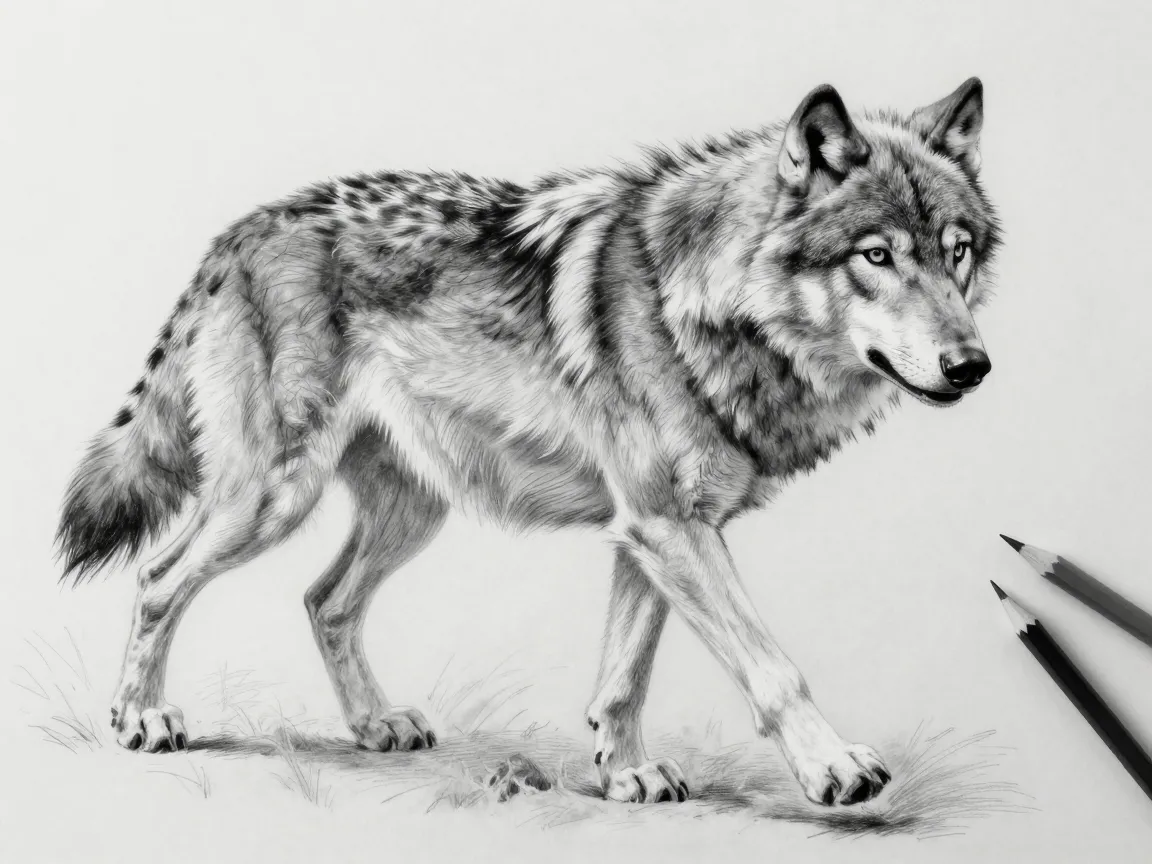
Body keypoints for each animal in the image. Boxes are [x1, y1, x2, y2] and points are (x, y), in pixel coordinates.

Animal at [57, 77, 999, 807]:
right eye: (876, 255)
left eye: (956, 254)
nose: (973, 365)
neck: (700, 303)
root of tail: (241, 231)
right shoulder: (668, 528)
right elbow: (772, 668)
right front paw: (833, 768)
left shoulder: (655, 532)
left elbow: (624, 676)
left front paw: (625, 775)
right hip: (271, 499)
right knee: (159, 577)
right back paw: (140, 718)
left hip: (412, 511)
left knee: (325, 601)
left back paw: (374, 725)